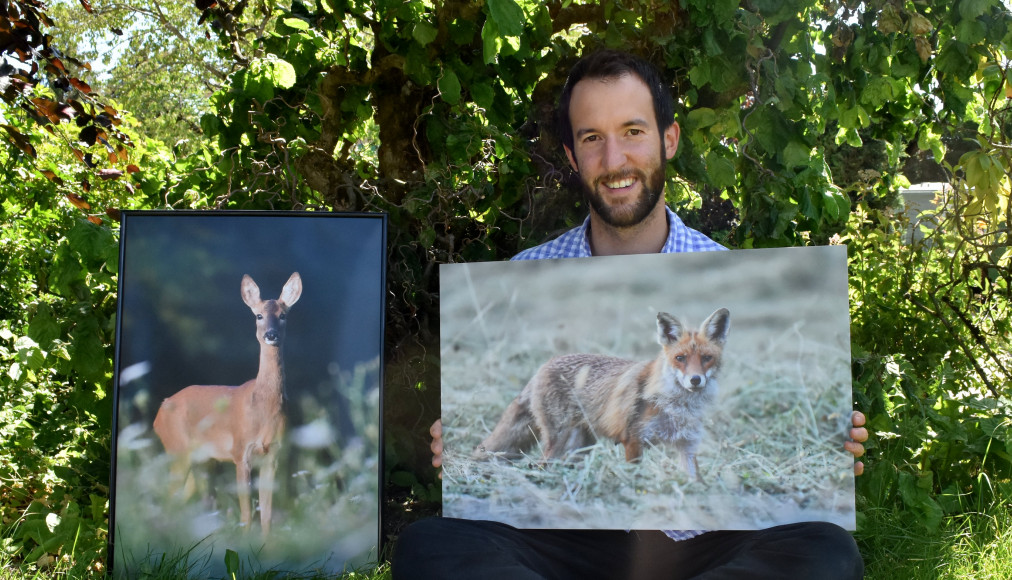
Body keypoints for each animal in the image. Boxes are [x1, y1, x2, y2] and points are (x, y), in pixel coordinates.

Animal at [149, 271, 299, 534]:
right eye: (259, 315)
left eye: (283, 315)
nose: (271, 335)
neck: (262, 406)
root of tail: (160, 411)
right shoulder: (240, 452)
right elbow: (247, 514)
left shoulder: (273, 455)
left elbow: (267, 516)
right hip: (176, 448)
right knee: (168, 500)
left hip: (202, 461)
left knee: (183, 499)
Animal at [473, 307, 728, 479]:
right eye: (680, 358)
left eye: (707, 358)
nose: (695, 380)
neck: (676, 404)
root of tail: (543, 366)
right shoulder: (632, 439)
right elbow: (635, 475)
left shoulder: (688, 446)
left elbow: (693, 480)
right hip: (558, 440)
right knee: (540, 463)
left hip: (580, 446)